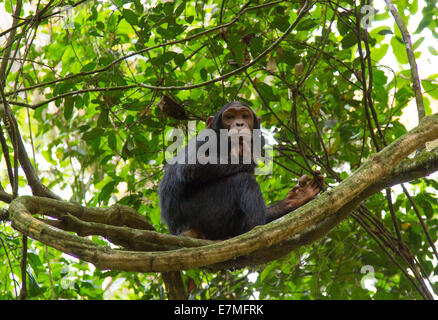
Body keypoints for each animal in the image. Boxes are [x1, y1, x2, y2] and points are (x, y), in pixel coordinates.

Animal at [159, 101, 324, 239]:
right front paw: (244, 155)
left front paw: (298, 197)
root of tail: (182, 231)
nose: (239, 123)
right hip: (201, 212)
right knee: (244, 180)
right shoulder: (206, 139)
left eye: (245, 116)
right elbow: (191, 167)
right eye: (230, 117)